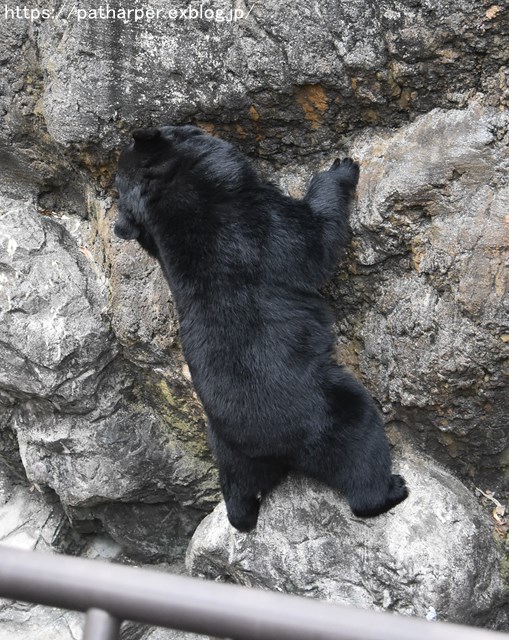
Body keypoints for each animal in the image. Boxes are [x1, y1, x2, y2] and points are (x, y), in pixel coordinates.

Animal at [113, 125, 406, 528]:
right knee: (360, 443)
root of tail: (270, 446)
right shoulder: (255, 226)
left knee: (237, 486)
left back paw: (241, 514)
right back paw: (391, 489)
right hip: (328, 410)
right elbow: (313, 240)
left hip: (227, 450)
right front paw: (341, 167)